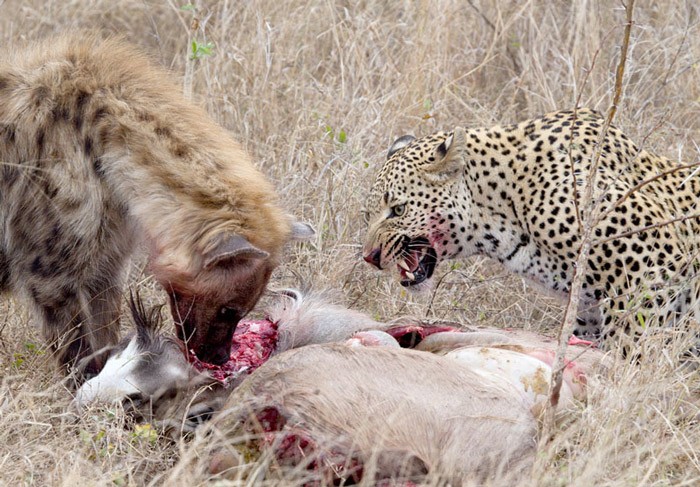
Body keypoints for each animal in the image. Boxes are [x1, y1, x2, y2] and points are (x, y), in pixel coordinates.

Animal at [364, 107, 696, 350]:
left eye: (398, 210)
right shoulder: (587, 306)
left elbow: (631, 346)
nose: (370, 256)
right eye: (370, 212)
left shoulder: (652, 266)